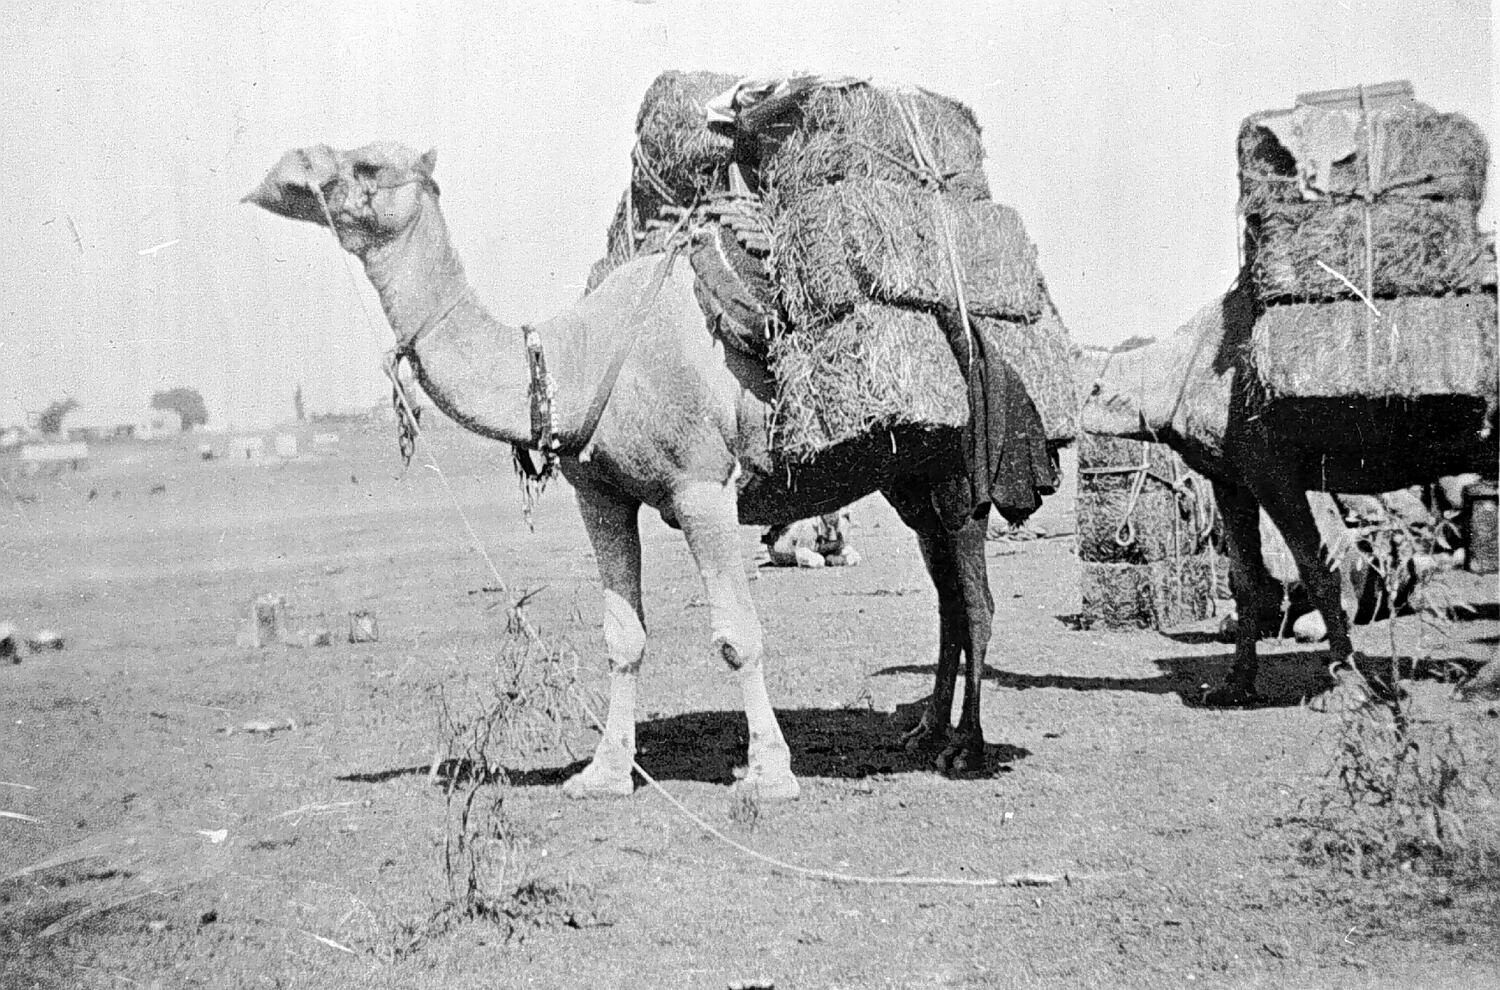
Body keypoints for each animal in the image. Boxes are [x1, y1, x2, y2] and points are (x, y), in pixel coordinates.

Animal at [246, 143, 1050, 798]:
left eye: (367, 165)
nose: (279, 176)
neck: (574, 360)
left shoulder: (701, 490)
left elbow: (738, 634)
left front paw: (769, 774)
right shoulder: (600, 496)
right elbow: (621, 637)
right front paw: (602, 774)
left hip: (962, 473)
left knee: (976, 602)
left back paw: (965, 749)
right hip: (910, 478)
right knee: (947, 599)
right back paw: (924, 731)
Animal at [1086, 280, 1494, 705]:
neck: (1181, 373)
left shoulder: (1273, 470)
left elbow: (1321, 575)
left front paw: (1345, 689)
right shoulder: (1231, 475)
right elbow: (1245, 581)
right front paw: (1234, 686)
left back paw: (1476, 686)